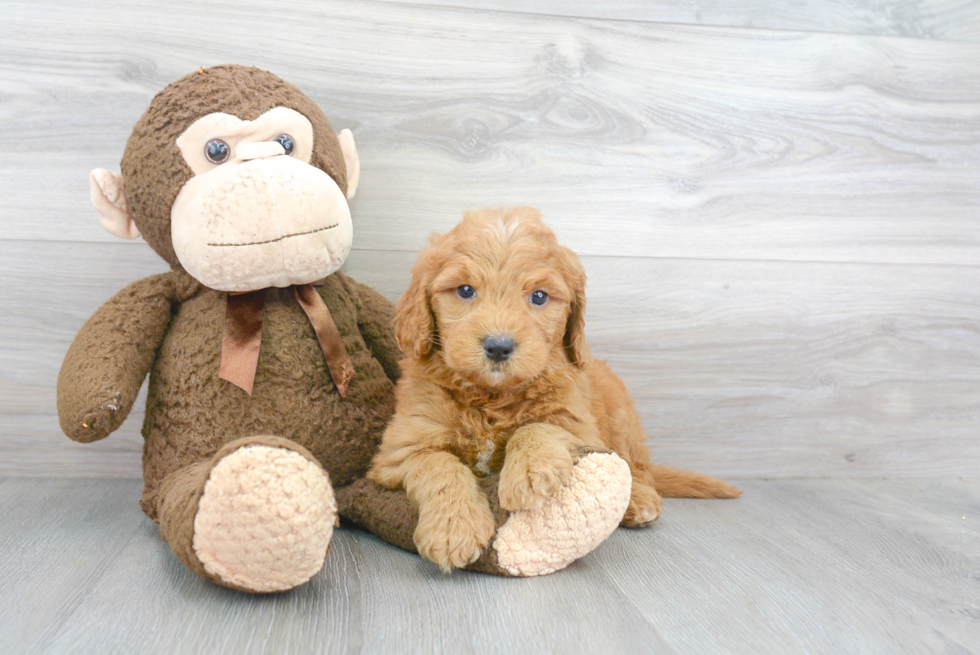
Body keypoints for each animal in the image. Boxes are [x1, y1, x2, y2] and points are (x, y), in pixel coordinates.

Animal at [372, 208, 740, 572]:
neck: (492, 396)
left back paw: (639, 500)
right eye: (464, 290)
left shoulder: (578, 423)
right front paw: (453, 529)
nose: (498, 347)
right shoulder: (401, 449)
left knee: (636, 467)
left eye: (539, 296)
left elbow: (539, 425)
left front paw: (530, 471)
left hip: (623, 420)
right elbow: (439, 464)